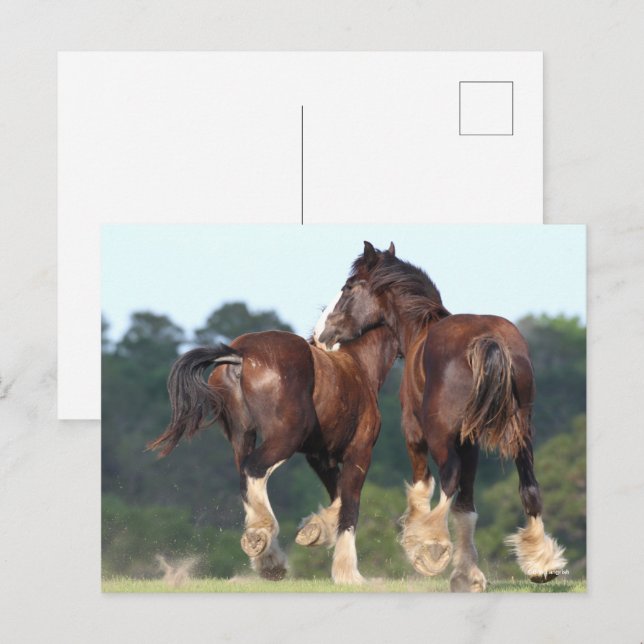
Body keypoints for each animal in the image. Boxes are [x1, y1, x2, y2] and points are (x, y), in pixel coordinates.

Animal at [148, 325, 398, 584]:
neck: (358, 367)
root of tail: (240, 354)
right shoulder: (359, 454)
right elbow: (349, 505)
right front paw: (348, 574)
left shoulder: (320, 456)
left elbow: (338, 497)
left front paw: (314, 530)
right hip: (286, 438)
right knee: (254, 468)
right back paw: (261, 537)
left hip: (243, 436)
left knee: (244, 475)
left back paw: (268, 559)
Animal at [316, 241, 567, 592]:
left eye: (349, 287)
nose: (320, 334)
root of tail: (488, 342)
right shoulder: (470, 442)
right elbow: (467, 508)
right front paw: (468, 573)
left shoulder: (414, 433)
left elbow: (424, 486)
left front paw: (423, 542)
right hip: (522, 435)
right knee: (528, 488)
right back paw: (541, 564)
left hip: (439, 436)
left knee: (448, 478)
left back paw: (431, 547)